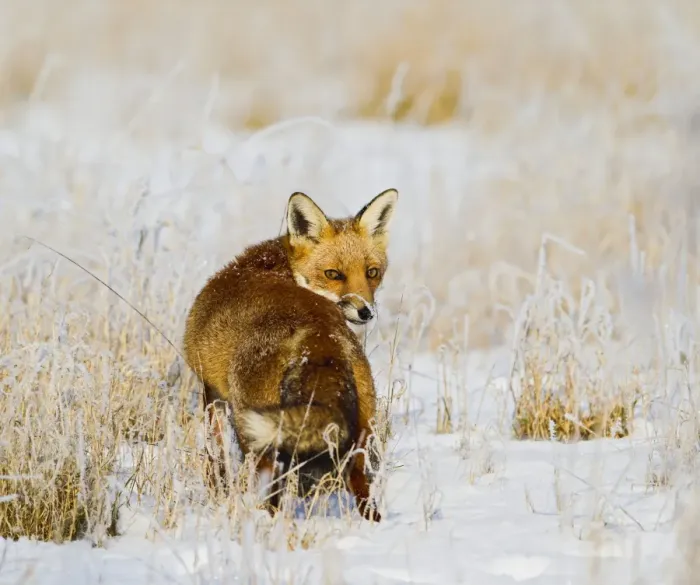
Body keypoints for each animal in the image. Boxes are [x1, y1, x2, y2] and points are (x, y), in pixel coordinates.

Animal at [182, 188, 398, 521]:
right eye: (333, 274)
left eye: (371, 272)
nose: (366, 312)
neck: (280, 264)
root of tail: (319, 335)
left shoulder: (211, 392)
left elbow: (214, 458)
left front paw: (217, 494)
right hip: (362, 433)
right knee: (363, 493)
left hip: (257, 434)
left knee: (270, 495)